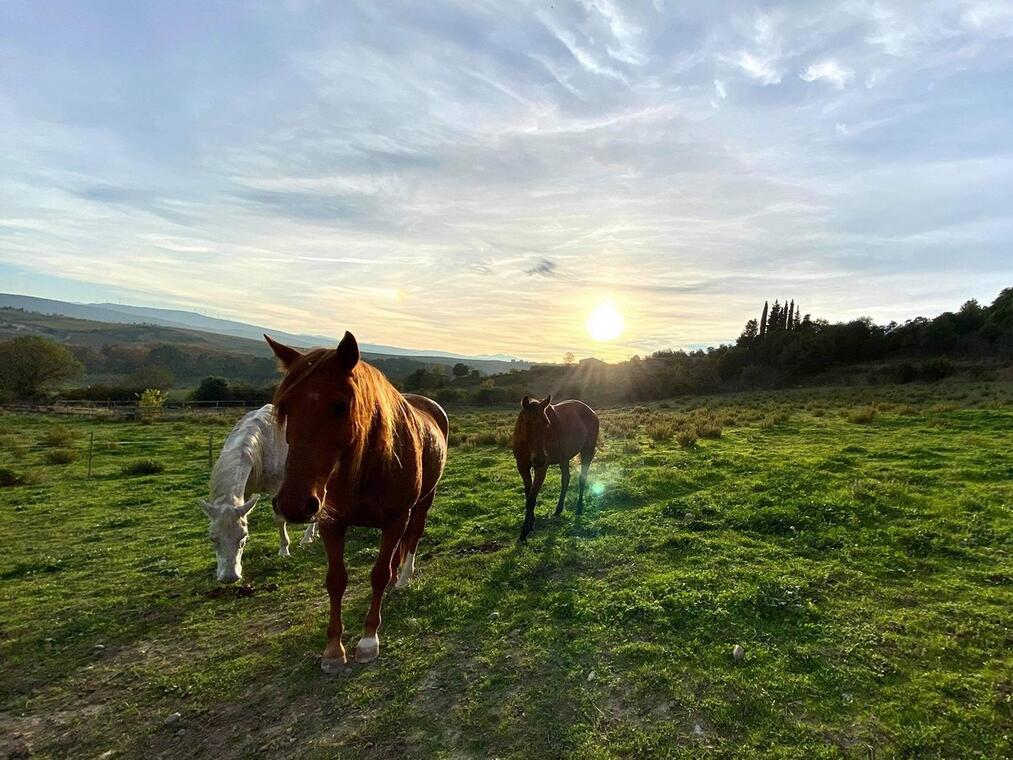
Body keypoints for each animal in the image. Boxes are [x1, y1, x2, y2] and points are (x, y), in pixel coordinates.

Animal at [198, 405, 316, 583]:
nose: (229, 577)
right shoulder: (244, 493)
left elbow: (279, 519)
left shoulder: (277, 487)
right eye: (212, 538)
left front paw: (284, 550)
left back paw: (307, 537)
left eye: (243, 537)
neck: (261, 444)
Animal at [265, 332, 447, 672]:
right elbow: (336, 581)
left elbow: (379, 574)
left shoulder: (395, 519)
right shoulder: (331, 523)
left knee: (413, 537)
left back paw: (403, 579)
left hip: (423, 501)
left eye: (341, 405)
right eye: (285, 407)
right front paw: (333, 649)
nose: (294, 504)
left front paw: (368, 640)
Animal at [510, 395, 595, 543]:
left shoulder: (541, 469)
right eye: (527, 423)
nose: (539, 459)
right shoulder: (522, 467)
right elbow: (528, 494)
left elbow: (531, 499)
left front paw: (524, 533)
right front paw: (531, 523)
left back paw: (579, 508)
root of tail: (591, 411)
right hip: (564, 458)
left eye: (547, 423)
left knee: (582, 479)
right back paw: (559, 509)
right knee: (566, 479)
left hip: (587, 452)